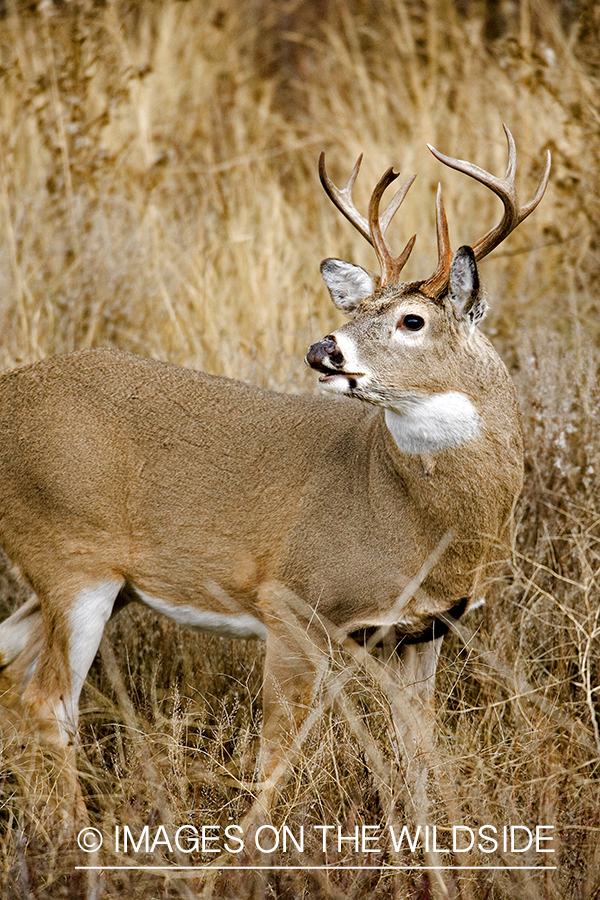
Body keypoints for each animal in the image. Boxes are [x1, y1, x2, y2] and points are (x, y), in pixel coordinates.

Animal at [0, 128, 548, 824]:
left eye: (412, 320)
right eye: (357, 309)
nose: (323, 350)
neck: (412, 520)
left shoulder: (421, 631)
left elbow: (422, 760)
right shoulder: (291, 600)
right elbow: (276, 759)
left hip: (88, 578)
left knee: (10, 673)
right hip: (72, 561)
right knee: (45, 704)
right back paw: (75, 839)